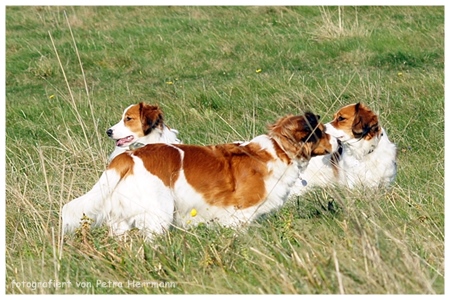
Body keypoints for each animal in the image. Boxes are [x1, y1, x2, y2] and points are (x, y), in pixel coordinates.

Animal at [62, 112, 338, 239]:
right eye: (322, 131)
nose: (339, 141)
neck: (279, 150)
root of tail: (129, 156)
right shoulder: (239, 216)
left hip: (123, 219)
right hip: (159, 215)